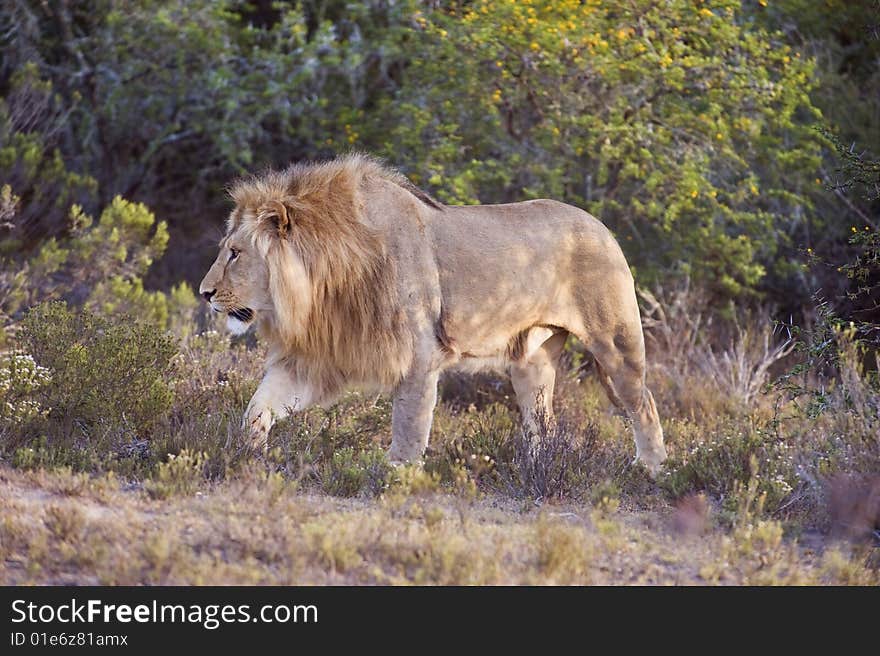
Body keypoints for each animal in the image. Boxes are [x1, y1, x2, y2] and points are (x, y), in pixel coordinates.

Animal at [199, 155, 668, 472]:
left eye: (235, 253)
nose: (205, 293)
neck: (326, 279)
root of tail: (604, 227)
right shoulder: (319, 358)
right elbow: (259, 405)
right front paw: (246, 454)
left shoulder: (418, 355)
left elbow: (409, 426)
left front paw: (395, 477)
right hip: (532, 359)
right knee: (543, 422)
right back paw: (533, 467)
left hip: (615, 342)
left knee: (643, 404)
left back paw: (651, 470)